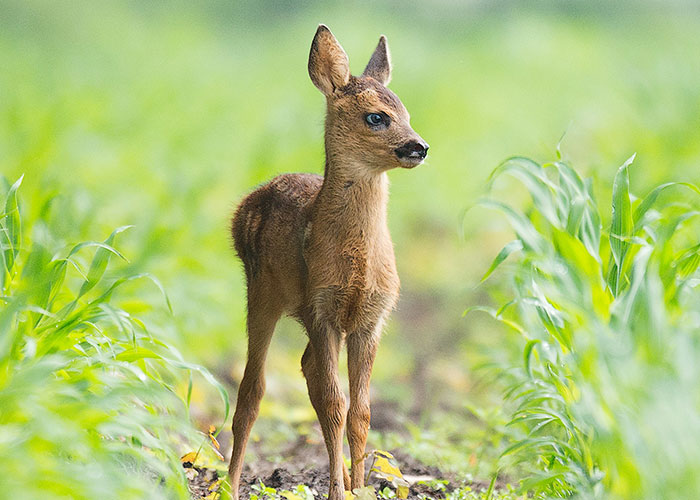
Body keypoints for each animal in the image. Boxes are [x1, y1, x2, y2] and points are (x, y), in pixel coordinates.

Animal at [227, 25, 429, 500]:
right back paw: (228, 484)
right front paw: (340, 490)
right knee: (252, 389)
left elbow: (362, 411)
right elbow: (336, 403)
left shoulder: (371, 318)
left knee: (306, 371)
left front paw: (359, 488)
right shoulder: (321, 308)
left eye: (406, 112)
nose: (419, 146)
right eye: (376, 117)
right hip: (261, 292)